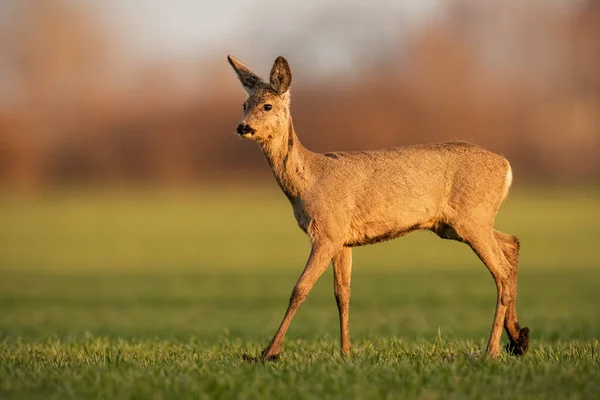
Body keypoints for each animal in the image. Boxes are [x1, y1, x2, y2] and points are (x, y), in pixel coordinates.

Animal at [227, 54, 528, 360]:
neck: (308, 180)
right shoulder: (342, 238)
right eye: (244, 104)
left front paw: (268, 352)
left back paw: (491, 350)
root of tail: (506, 167)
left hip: (472, 217)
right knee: (512, 243)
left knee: (501, 271)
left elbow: (300, 289)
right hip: (455, 224)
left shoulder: (327, 232)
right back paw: (518, 337)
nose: (243, 127)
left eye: (267, 105)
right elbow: (342, 293)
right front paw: (346, 352)